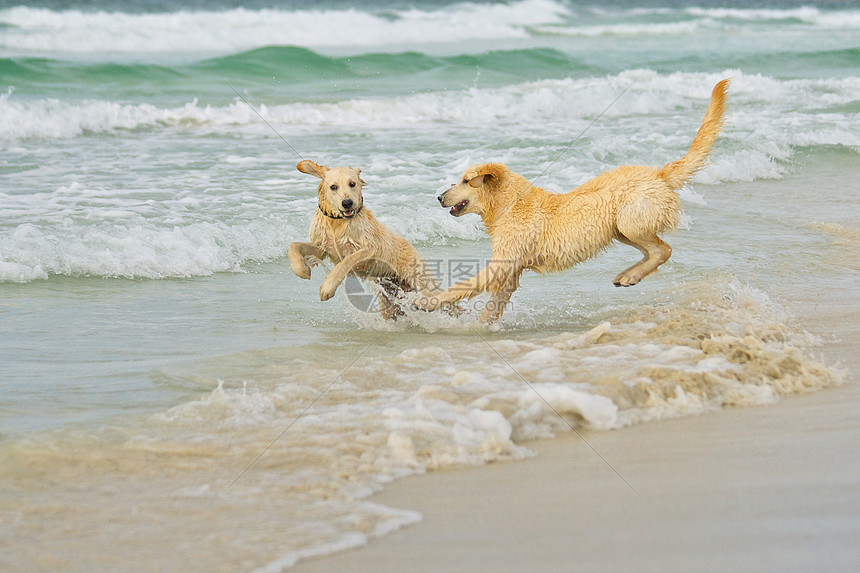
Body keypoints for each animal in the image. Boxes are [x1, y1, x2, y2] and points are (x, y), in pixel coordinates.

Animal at [288, 161, 444, 320]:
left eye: (352, 184)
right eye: (333, 187)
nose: (347, 203)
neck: (338, 222)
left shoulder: (370, 249)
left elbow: (347, 260)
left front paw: (327, 288)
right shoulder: (322, 247)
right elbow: (293, 245)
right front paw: (302, 269)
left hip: (419, 277)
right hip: (389, 300)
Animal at [426, 79, 728, 324]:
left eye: (465, 181)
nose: (439, 196)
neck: (509, 204)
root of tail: (660, 174)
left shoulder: (501, 264)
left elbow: (464, 284)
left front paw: (429, 301)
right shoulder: (510, 271)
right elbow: (494, 304)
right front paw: (481, 325)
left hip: (629, 221)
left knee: (663, 250)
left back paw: (631, 276)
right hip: (620, 229)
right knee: (653, 250)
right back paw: (626, 274)